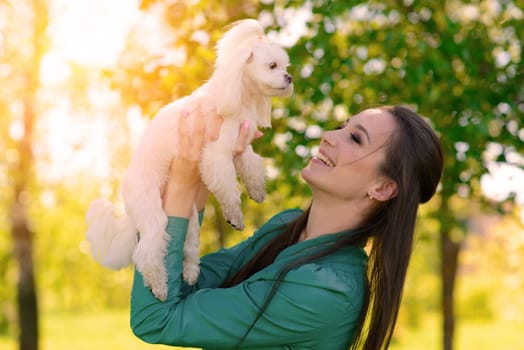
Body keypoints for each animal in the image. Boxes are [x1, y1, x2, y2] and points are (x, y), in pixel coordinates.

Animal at [84, 19, 292, 300]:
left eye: (286, 66)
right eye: (272, 66)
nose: (289, 77)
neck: (237, 96)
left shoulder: (240, 148)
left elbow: (251, 167)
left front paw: (257, 190)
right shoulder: (216, 155)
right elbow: (229, 189)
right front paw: (235, 216)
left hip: (190, 217)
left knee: (189, 245)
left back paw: (191, 273)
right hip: (152, 212)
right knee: (147, 252)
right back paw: (160, 287)